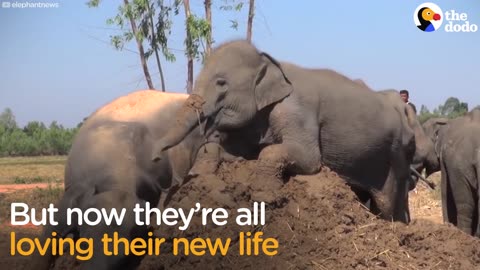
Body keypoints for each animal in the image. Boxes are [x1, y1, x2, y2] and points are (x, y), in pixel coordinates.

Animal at [152, 39, 434, 223]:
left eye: (221, 83)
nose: (155, 157)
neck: (270, 61)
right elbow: (238, 154)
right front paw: (203, 171)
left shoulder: (297, 111)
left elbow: (308, 159)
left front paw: (263, 196)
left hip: (397, 156)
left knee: (388, 202)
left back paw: (398, 227)